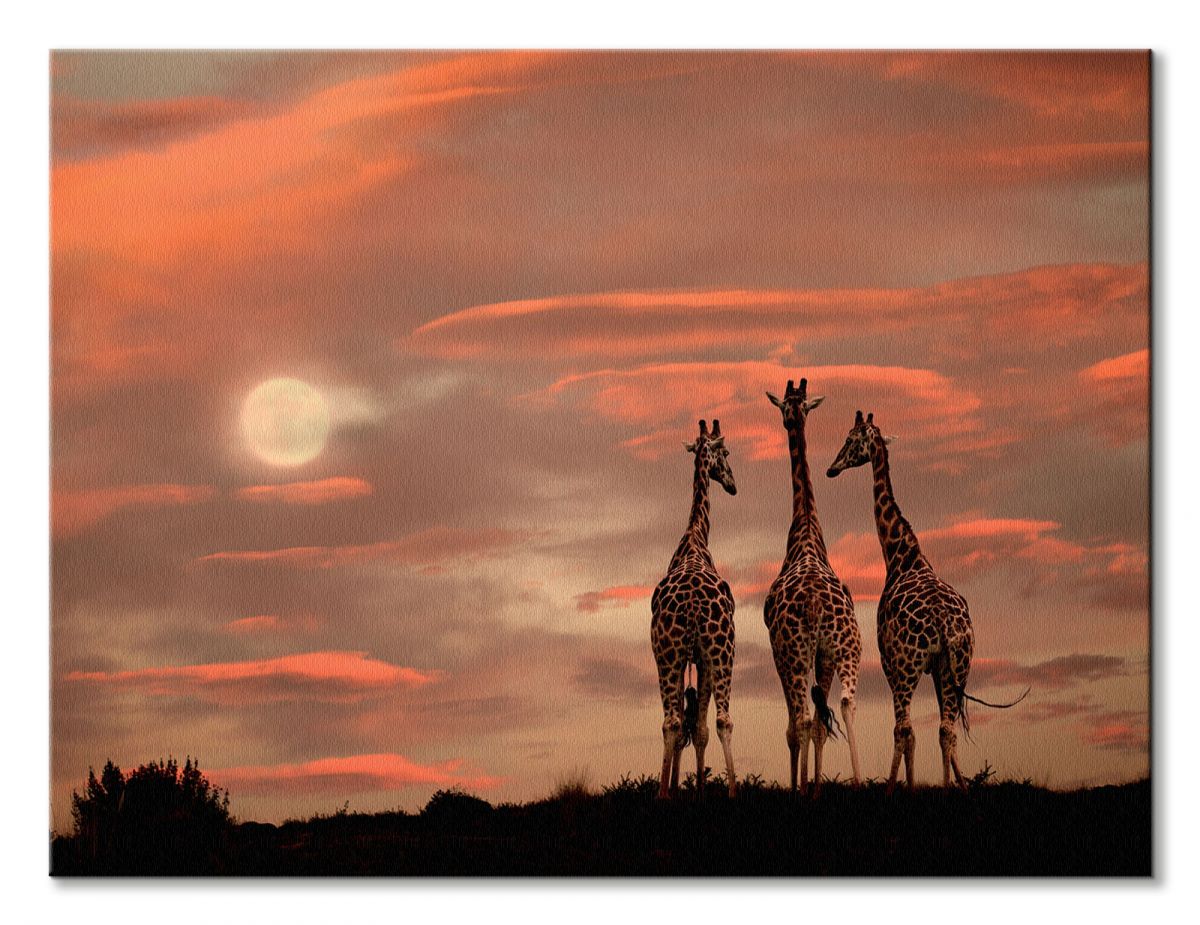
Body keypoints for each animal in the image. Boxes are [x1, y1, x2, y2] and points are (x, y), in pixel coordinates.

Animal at [826, 410, 1027, 793]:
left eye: (849, 439)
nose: (831, 468)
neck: (902, 557)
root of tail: (944, 623)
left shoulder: (889, 660)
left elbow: (904, 731)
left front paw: (902, 786)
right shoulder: (938, 666)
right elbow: (937, 730)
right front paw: (954, 784)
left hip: (908, 666)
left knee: (905, 726)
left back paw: (896, 787)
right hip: (959, 664)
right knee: (947, 728)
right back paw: (950, 790)